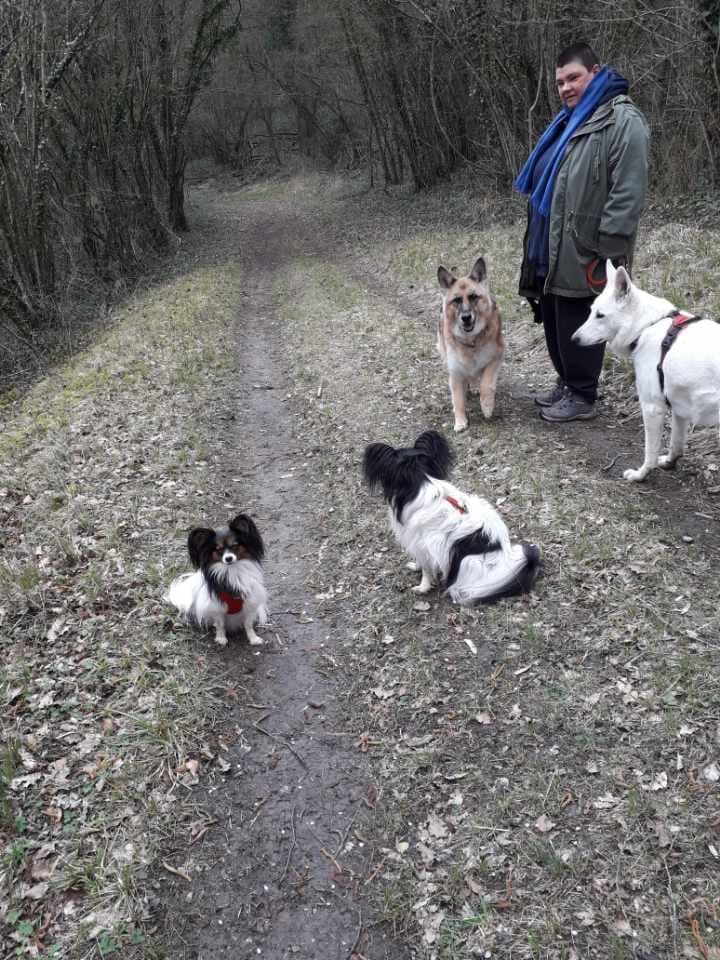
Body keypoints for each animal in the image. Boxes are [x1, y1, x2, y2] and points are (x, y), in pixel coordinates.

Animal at [165, 510, 268, 644]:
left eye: (235, 546)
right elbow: (220, 625)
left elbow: (248, 624)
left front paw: (253, 638)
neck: (231, 571)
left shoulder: (249, 603)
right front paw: (221, 639)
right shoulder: (216, 607)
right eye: (218, 550)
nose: (228, 558)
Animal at [366, 432, 540, 604]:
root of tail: (508, 563)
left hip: (469, 561)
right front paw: (415, 567)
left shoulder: (423, 543)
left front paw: (422, 587)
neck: (421, 479)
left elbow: (426, 570)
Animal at [436, 258, 504, 432]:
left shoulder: (495, 358)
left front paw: (487, 406)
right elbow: (458, 399)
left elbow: (486, 384)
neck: (471, 340)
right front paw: (460, 421)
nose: (466, 317)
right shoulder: (455, 372)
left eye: (473, 297)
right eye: (457, 300)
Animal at [572, 260, 720, 480]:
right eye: (591, 312)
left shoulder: (652, 408)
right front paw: (669, 463)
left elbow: (650, 453)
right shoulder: (679, 409)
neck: (646, 326)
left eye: (600, 315)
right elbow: (676, 445)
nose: (573, 339)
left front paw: (640, 475)